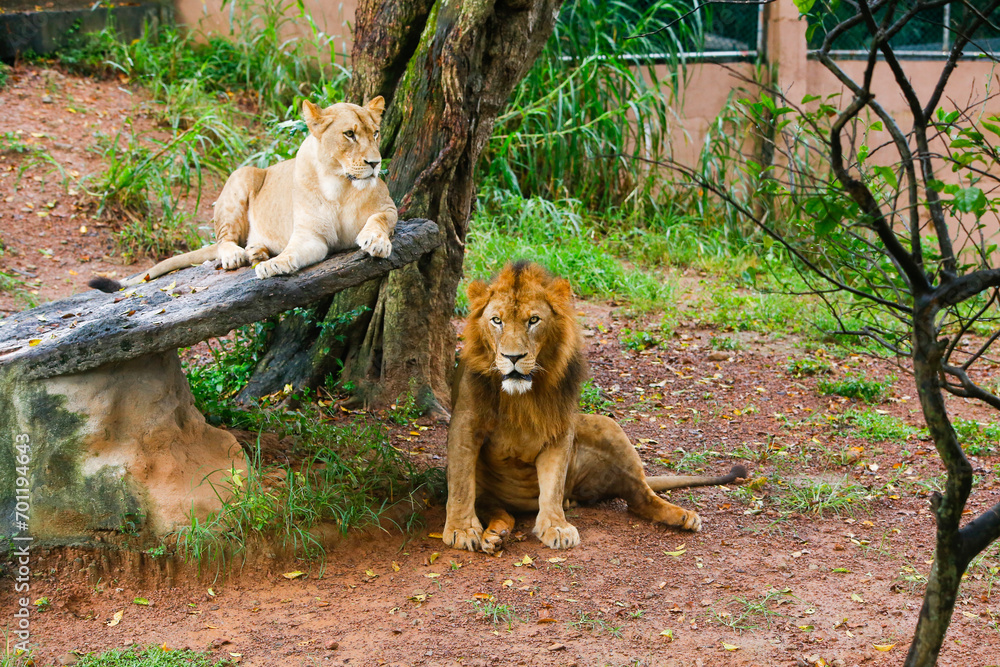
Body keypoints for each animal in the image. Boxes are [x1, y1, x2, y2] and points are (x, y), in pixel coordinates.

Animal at [89, 96, 397, 292]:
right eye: (349, 134)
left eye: (375, 133)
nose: (375, 163)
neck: (340, 187)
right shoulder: (310, 236)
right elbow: (292, 252)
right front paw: (274, 266)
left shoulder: (388, 208)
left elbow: (379, 219)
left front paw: (376, 242)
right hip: (242, 174)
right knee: (223, 239)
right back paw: (240, 255)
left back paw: (256, 251)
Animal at [442, 262, 748, 553]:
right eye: (497, 321)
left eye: (533, 320)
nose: (513, 357)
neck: (520, 396)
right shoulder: (465, 423)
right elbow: (460, 484)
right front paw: (461, 531)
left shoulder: (560, 426)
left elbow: (552, 484)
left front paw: (556, 526)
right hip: (492, 495)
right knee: (500, 510)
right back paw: (495, 536)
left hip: (607, 425)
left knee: (639, 498)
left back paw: (683, 517)